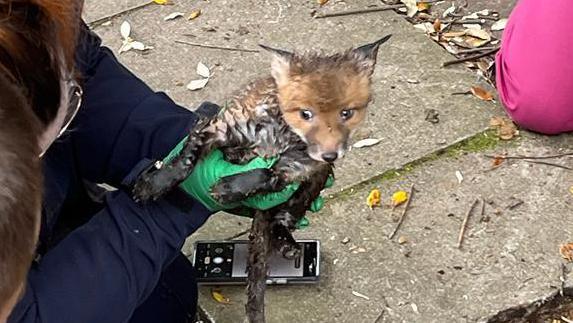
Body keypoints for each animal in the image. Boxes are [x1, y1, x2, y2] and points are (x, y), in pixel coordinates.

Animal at [134, 34, 392, 322]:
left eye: (347, 113)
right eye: (305, 113)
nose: (330, 155)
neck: (280, 134)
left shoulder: (301, 166)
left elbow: (267, 174)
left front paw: (230, 187)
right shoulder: (220, 128)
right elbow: (188, 158)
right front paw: (154, 184)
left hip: (303, 195)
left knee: (282, 220)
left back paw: (287, 243)